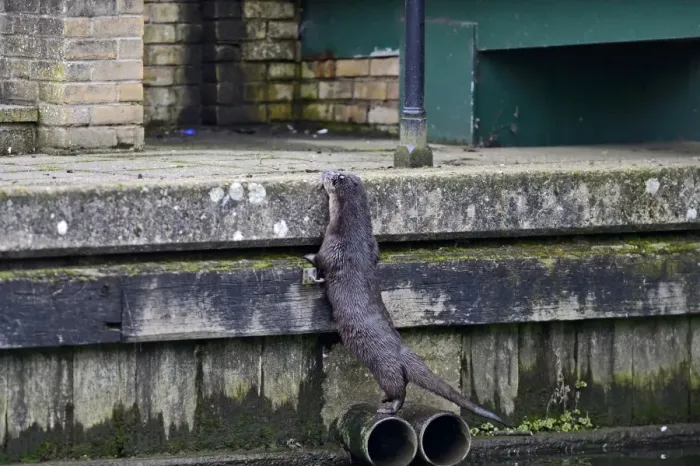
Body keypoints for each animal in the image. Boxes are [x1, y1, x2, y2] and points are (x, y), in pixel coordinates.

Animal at [305, 169, 510, 427]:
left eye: (335, 175)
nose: (325, 171)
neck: (352, 232)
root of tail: (402, 351)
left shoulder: (333, 248)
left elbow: (319, 260)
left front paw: (307, 257)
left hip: (385, 369)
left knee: (399, 389)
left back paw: (389, 407)